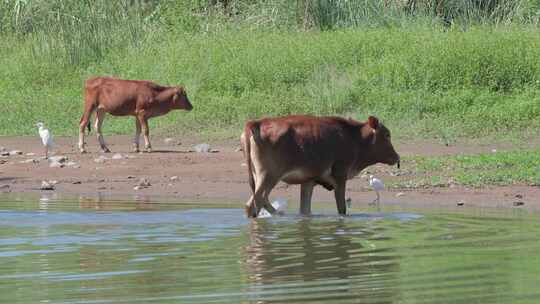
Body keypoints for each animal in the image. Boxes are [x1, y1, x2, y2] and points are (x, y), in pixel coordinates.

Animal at [242, 114, 400, 216]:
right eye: (387, 134)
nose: (397, 157)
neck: (355, 139)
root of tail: (257, 123)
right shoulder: (340, 176)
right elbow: (342, 209)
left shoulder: (308, 181)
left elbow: (305, 210)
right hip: (268, 175)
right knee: (255, 202)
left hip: (261, 176)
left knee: (259, 201)